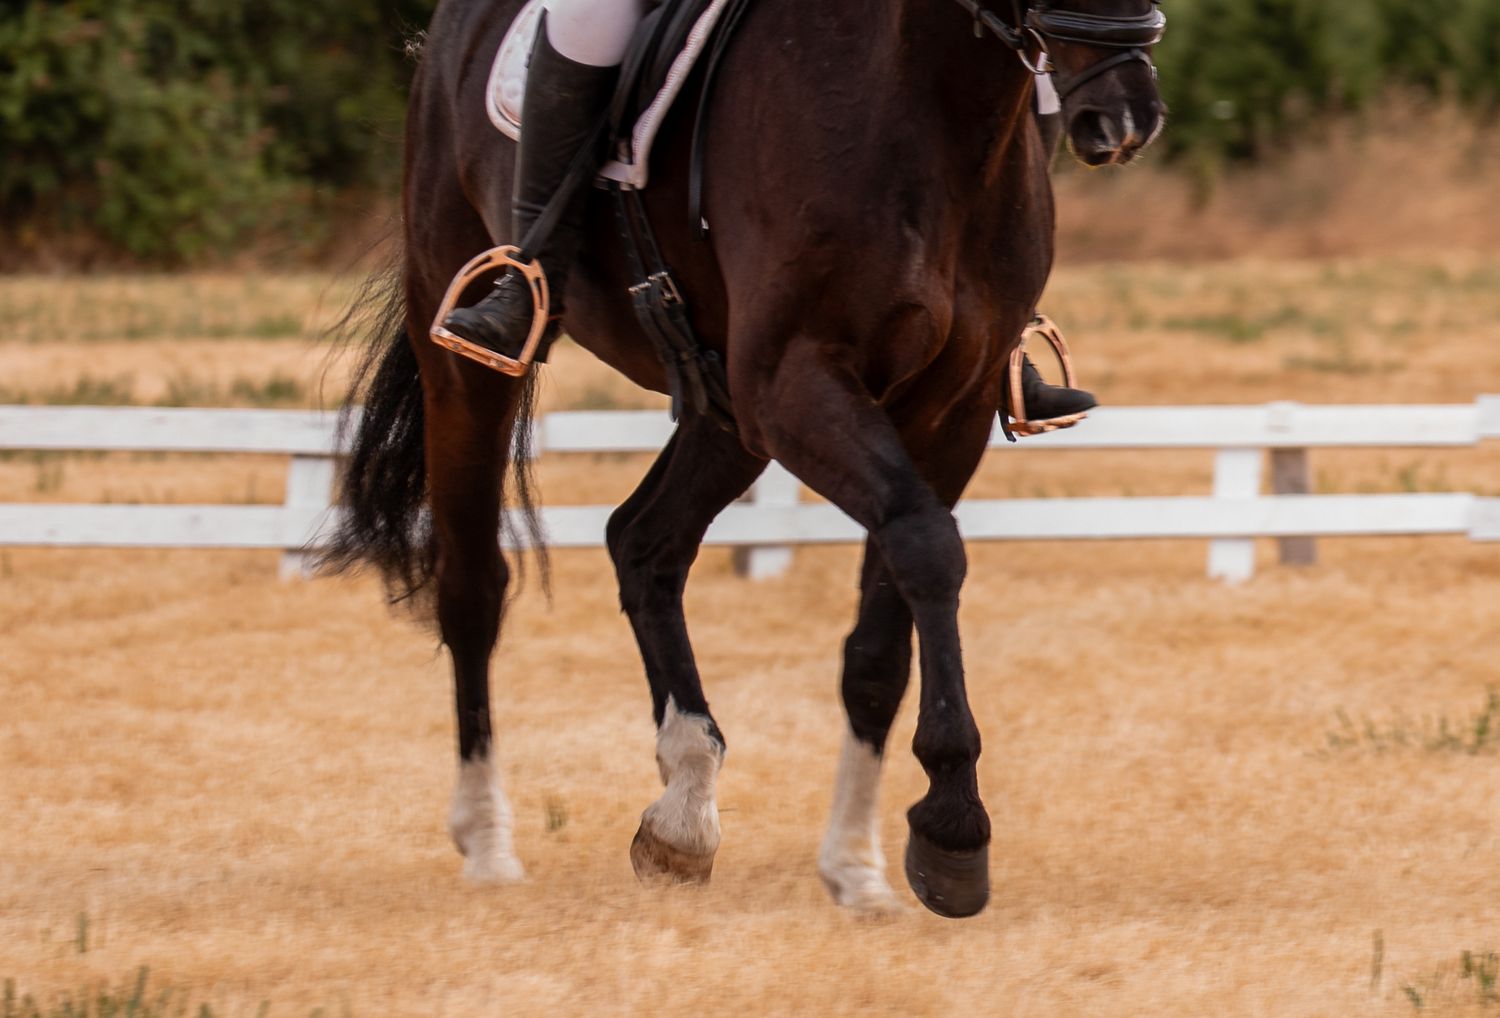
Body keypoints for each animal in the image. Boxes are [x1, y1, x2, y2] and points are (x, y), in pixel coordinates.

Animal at [326, 0, 1166, 918]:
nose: (1123, 118)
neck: (933, 105)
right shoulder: (797, 382)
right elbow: (927, 547)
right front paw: (953, 825)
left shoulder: (951, 411)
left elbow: (887, 629)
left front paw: (859, 865)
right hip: (467, 359)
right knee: (475, 585)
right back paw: (488, 842)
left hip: (720, 404)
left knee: (644, 541)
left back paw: (683, 812)